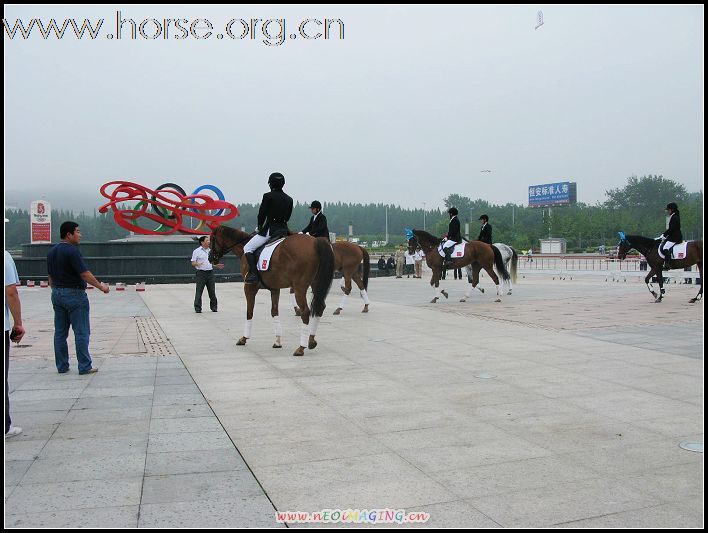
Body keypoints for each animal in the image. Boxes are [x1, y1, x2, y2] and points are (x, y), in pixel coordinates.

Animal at [209, 224, 336, 354]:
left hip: (299, 288)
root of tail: (315, 241)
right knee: (320, 307)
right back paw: (311, 341)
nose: (210, 258)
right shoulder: (275, 289)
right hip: (315, 284)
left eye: (212, 239)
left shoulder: (249, 287)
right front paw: (277, 341)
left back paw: (301, 348)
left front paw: (244, 338)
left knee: (305, 311)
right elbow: (274, 311)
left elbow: (249, 311)